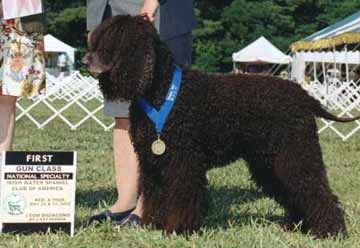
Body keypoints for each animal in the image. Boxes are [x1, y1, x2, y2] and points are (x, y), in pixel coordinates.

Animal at [84, 15, 358, 238]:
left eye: (111, 43)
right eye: (95, 41)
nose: (85, 61)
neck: (159, 90)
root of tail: (303, 95)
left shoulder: (182, 160)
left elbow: (182, 195)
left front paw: (178, 229)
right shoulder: (153, 160)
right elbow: (155, 194)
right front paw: (154, 225)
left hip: (295, 153)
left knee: (316, 190)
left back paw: (329, 231)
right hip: (269, 160)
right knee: (294, 190)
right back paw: (299, 226)